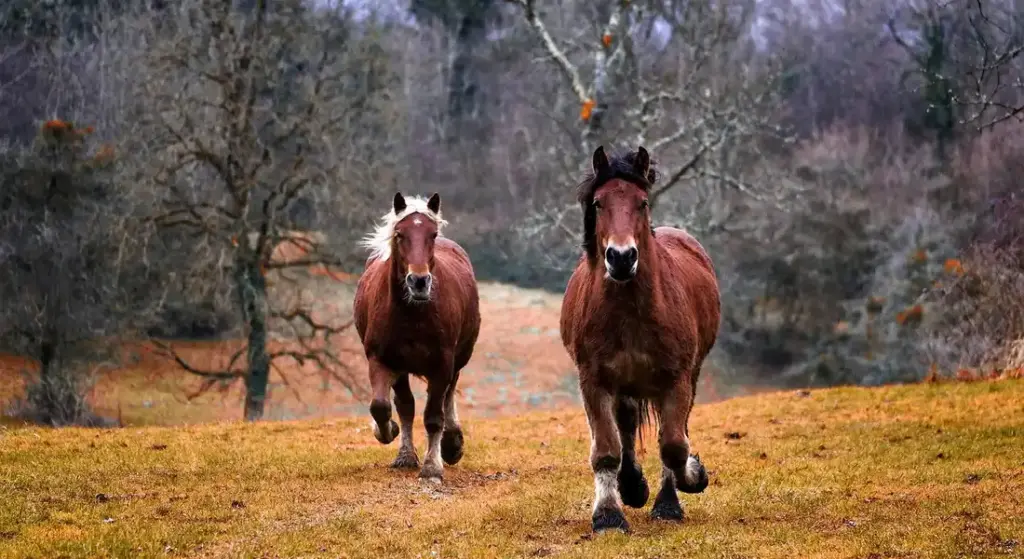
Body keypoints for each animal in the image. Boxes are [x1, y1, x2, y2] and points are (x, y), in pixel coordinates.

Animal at [353, 192, 481, 481]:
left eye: (432, 234)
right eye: (400, 234)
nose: (419, 282)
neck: (413, 314)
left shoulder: (442, 364)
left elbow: (433, 416)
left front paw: (433, 466)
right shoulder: (382, 360)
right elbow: (383, 406)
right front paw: (389, 434)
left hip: (458, 358)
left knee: (448, 395)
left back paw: (451, 444)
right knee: (406, 405)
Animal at [559, 146, 721, 533]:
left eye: (642, 202)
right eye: (599, 203)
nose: (621, 258)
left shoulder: (676, 380)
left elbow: (674, 445)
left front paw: (688, 483)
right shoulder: (594, 381)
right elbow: (607, 449)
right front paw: (608, 514)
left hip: (686, 377)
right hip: (625, 385)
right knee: (627, 426)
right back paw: (631, 486)